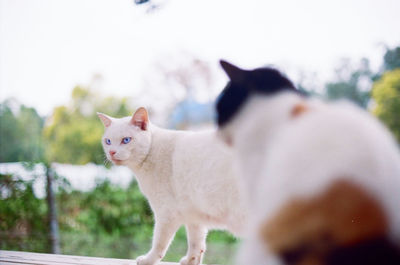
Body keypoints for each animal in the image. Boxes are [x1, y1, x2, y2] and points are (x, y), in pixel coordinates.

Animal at [97, 107, 247, 264]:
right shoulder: (194, 215)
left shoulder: (166, 213)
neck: (151, 152)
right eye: (108, 141)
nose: (111, 152)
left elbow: (159, 243)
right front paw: (190, 262)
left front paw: (148, 260)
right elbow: (196, 244)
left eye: (126, 140)